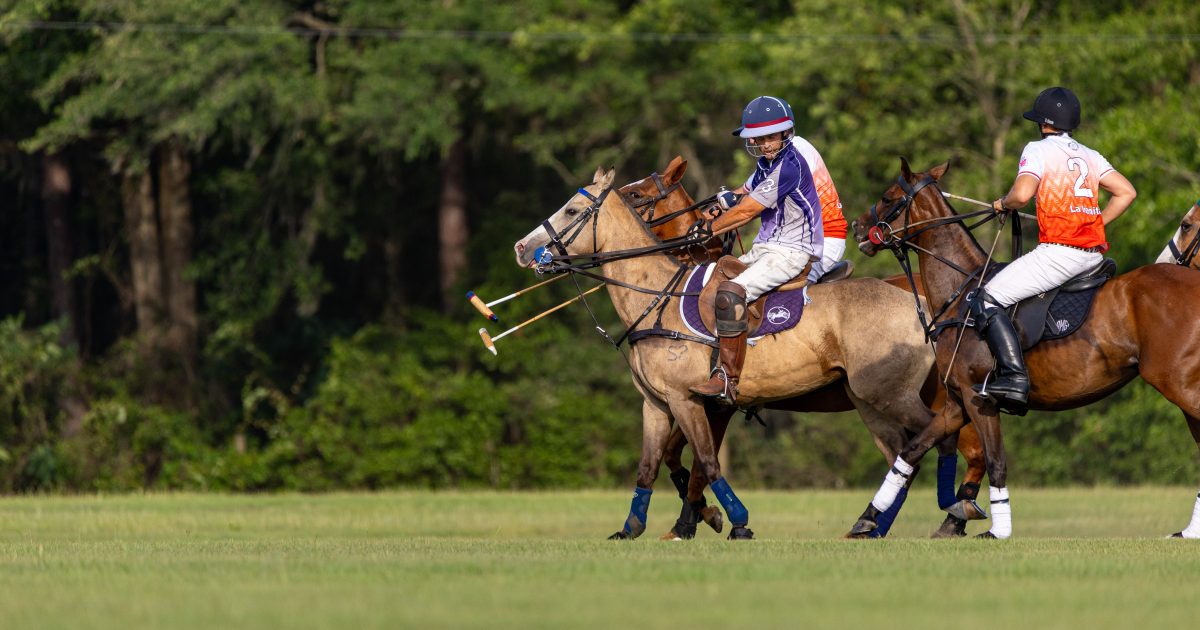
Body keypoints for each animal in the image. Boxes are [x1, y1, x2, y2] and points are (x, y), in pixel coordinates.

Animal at [516, 165, 968, 540]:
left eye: (573, 210)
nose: (522, 248)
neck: (658, 294)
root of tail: (919, 303)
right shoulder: (655, 404)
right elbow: (649, 466)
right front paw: (630, 529)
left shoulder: (692, 400)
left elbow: (705, 461)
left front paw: (732, 521)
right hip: (869, 401)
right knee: (905, 452)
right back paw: (873, 524)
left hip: (892, 393)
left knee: (938, 433)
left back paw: (951, 511)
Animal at [848, 158, 1200, 539]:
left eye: (887, 197)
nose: (857, 227)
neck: (961, 291)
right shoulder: (957, 401)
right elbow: (912, 452)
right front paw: (866, 520)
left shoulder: (978, 398)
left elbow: (996, 461)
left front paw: (997, 530)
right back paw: (1188, 531)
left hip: (1176, 382)